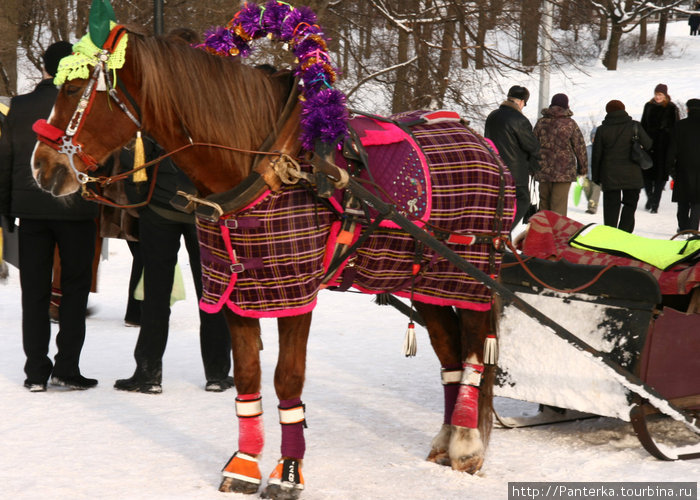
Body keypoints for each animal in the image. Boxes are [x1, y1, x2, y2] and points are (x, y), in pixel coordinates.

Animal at [32, 24, 516, 500]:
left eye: (73, 88)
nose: (40, 167)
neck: (263, 167)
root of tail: (484, 145)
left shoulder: (295, 294)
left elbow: (287, 380)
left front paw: (288, 472)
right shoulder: (234, 291)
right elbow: (248, 378)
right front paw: (246, 465)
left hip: (470, 274)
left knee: (474, 354)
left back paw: (467, 444)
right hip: (426, 280)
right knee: (450, 356)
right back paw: (446, 439)